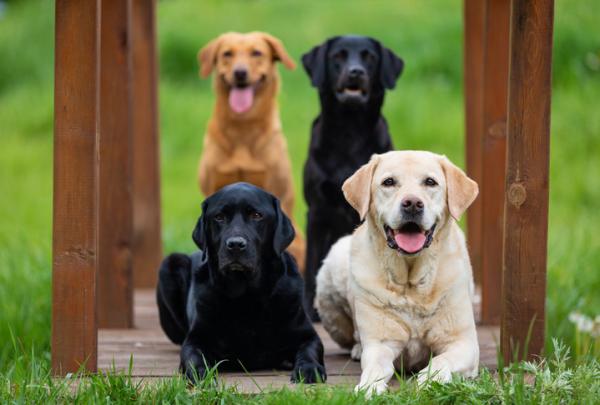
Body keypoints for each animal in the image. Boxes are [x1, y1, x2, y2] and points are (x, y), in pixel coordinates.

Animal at [155, 182, 324, 382]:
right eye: (219, 217)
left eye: (256, 215)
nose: (235, 244)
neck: (246, 296)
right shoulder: (196, 339)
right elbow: (192, 356)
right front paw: (199, 373)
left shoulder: (307, 335)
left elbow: (310, 351)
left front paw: (309, 369)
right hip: (169, 263)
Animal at [316, 150, 480, 396]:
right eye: (389, 182)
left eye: (430, 182)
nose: (412, 203)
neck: (410, 282)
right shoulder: (382, 344)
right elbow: (375, 367)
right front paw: (368, 387)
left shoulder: (464, 343)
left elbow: (440, 361)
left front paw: (428, 380)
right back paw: (357, 347)